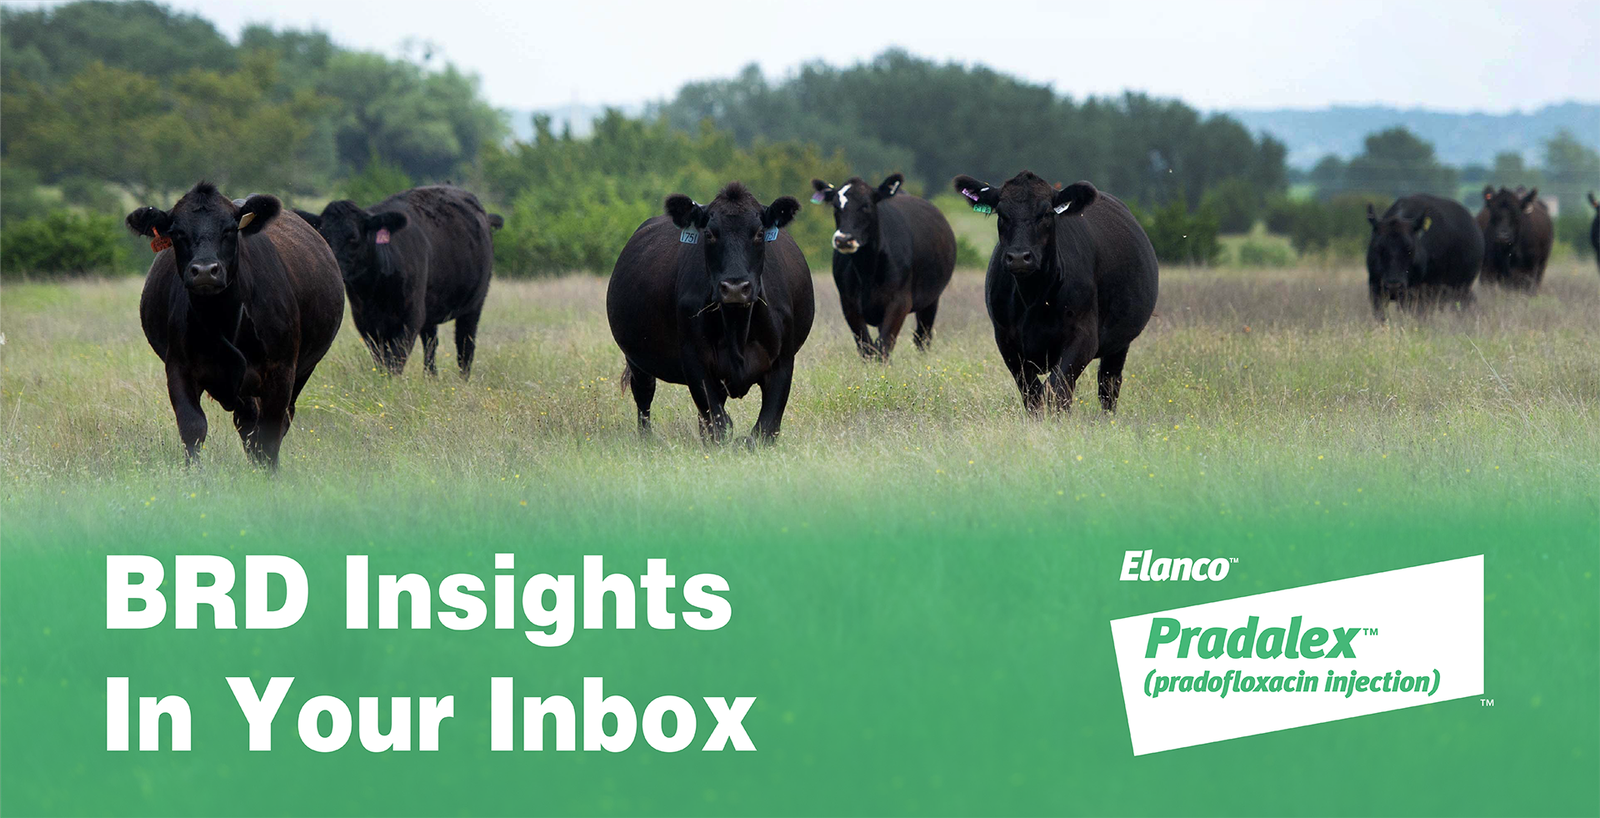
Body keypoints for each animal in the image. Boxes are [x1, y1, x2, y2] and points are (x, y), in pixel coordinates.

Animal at [128, 182, 344, 469]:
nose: (205, 271)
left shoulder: (281, 371)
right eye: (177, 232)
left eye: (229, 229)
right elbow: (193, 428)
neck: (221, 321)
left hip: (302, 371)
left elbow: (270, 434)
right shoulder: (178, 368)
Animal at [295, 186, 499, 378]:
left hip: (474, 303)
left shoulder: (411, 317)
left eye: (353, 237)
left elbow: (396, 358)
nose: (331, 265)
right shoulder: (365, 320)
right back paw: (430, 377)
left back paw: (463, 379)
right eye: (323, 235)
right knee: (431, 342)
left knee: (465, 343)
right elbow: (380, 357)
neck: (375, 291)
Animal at [606, 182, 813, 445]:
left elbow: (764, 428)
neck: (737, 329)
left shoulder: (783, 362)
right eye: (709, 234)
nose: (735, 288)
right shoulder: (695, 360)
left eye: (759, 233)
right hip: (637, 360)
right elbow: (719, 424)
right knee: (644, 396)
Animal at [809, 173, 956, 360]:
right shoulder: (849, 304)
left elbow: (884, 345)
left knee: (922, 337)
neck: (867, 270)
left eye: (866, 205)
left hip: (931, 299)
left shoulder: (899, 302)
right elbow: (867, 347)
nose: (844, 239)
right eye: (836, 206)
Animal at [950, 171, 1158, 413]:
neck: (1033, 297)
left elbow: (1056, 389)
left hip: (1120, 342)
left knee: (1109, 385)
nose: (1019, 257)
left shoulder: (1083, 337)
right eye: (1001, 214)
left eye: (1046, 213)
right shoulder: (1006, 341)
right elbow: (1032, 393)